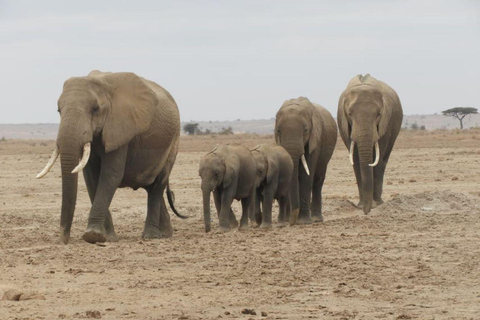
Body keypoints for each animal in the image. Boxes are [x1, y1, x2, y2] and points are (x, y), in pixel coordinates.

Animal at [35, 70, 186, 244]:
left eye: (95, 108)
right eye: (59, 110)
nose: (64, 240)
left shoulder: (121, 126)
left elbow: (110, 175)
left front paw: (92, 235)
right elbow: (92, 179)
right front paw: (106, 237)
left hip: (173, 142)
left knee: (156, 186)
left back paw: (151, 236)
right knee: (152, 187)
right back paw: (166, 234)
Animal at [274, 97, 338, 225]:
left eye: (305, 130)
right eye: (278, 131)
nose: (291, 222)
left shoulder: (315, 141)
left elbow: (306, 175)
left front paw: (303, 221)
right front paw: (289, 220)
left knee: (317, 181)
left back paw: (316, 219)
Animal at [336, 74, 404, 214]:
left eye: (378, 114)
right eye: (349, 114)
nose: (366, 211)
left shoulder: (385, 124)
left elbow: (377, 158)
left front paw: (376, 205)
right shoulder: (345, 126)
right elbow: (356, 160)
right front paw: (361, 205)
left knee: (383, 161)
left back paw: (379, 201)